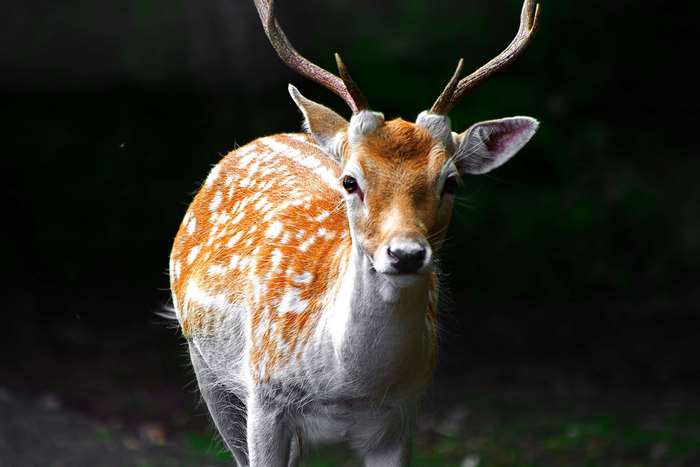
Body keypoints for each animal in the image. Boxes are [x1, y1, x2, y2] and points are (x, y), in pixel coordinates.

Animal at [169, 0, 540, 465]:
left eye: (451, 181)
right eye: (350, 181)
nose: (405, 254)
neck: (346, 386)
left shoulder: (400, 418)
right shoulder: (265, 399)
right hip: (206, 364)